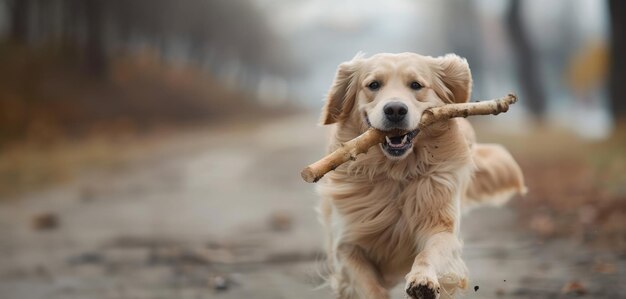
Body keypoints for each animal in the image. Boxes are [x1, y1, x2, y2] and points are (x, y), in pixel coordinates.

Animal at [314, 52, 524, 298]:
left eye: (416, 85)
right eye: (373, 85)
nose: (395, 110)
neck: (395, 172)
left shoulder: (441, 227)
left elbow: (428, 253)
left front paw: (422, 280)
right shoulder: (345, 245)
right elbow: (370, 286)